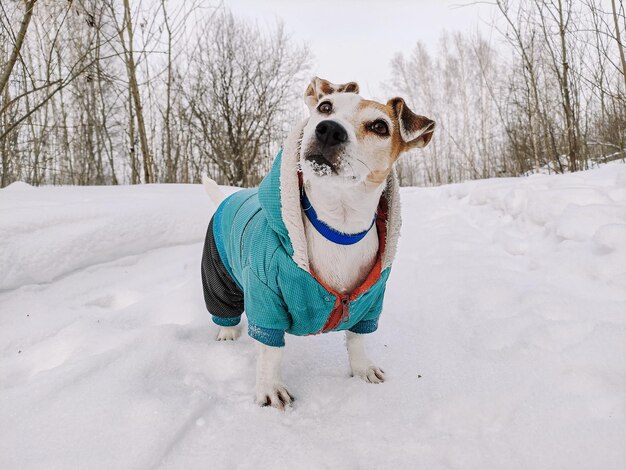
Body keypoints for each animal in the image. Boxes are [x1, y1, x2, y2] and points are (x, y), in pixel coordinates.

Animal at [201, 77, 434, 408]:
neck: (337, 228)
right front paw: (270, 388)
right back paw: (227, 333)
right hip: (218, 273)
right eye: (325, 107)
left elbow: (357, 338)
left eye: (379, 126)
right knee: (225, 309)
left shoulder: (370, 302)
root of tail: (229, 197)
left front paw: (362, 369)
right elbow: (271, 351)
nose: (329, 129)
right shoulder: (264, 293)